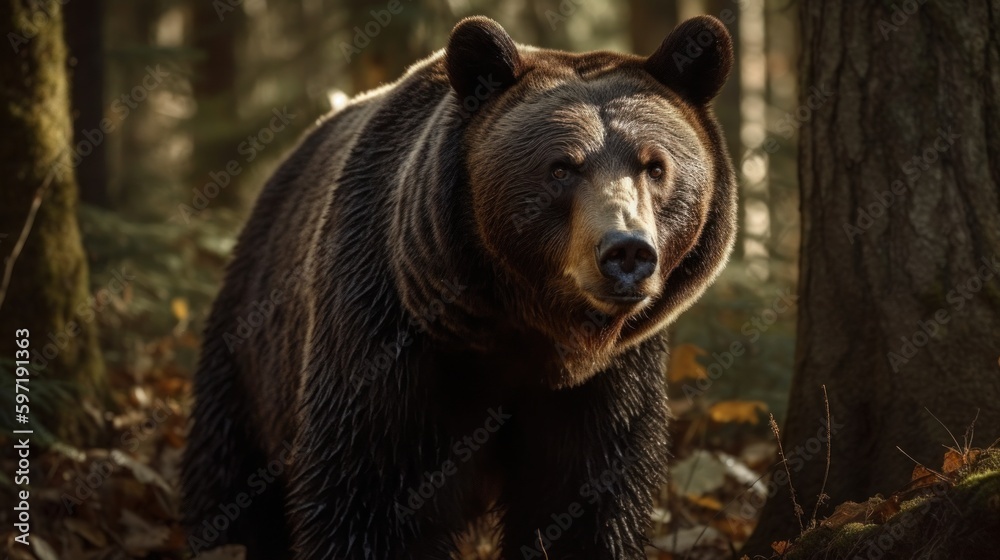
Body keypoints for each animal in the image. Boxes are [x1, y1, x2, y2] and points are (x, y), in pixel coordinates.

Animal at [182, 15, 737, 560]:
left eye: (655, 165)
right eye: (561, 167)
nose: (626, 251)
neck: (524, 328)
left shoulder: (607, 382)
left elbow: (585, 500)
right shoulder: (387, 331)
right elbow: (370, 491)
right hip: (251, 347)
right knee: (227, 469)